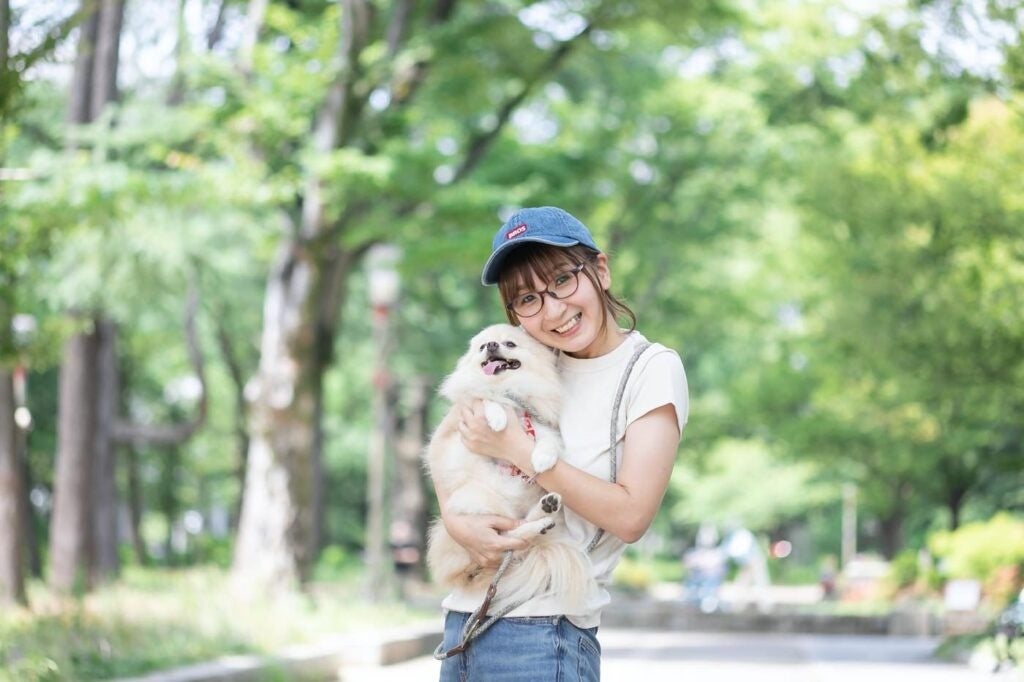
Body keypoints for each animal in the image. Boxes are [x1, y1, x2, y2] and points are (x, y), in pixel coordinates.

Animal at [424, 323, 593, 613]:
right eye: (482, 346)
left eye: (510, 344)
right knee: (510, 536)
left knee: (520, 532)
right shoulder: (470, 408)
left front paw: (542, 459)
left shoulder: (540, 426)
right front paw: (497, 418)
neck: (509, 390)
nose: (492, 345)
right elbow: (487, 399)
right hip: (480, 501)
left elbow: (547, 440)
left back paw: (546, 511)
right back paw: (539, 522)